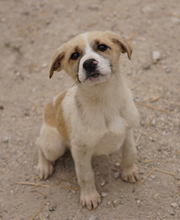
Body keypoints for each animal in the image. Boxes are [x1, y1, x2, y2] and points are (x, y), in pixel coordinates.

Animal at [36, 30, 140, 210]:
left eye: (102, 47)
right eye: (74, 55)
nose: (89, 64)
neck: (104, 100)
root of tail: (51, 104)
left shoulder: (127, 132)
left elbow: (130, 153)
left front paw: (128, 171)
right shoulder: (80, 150)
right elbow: (85, 175)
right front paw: (89, 196)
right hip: (54, 146)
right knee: (39, 144)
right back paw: (44, 167)